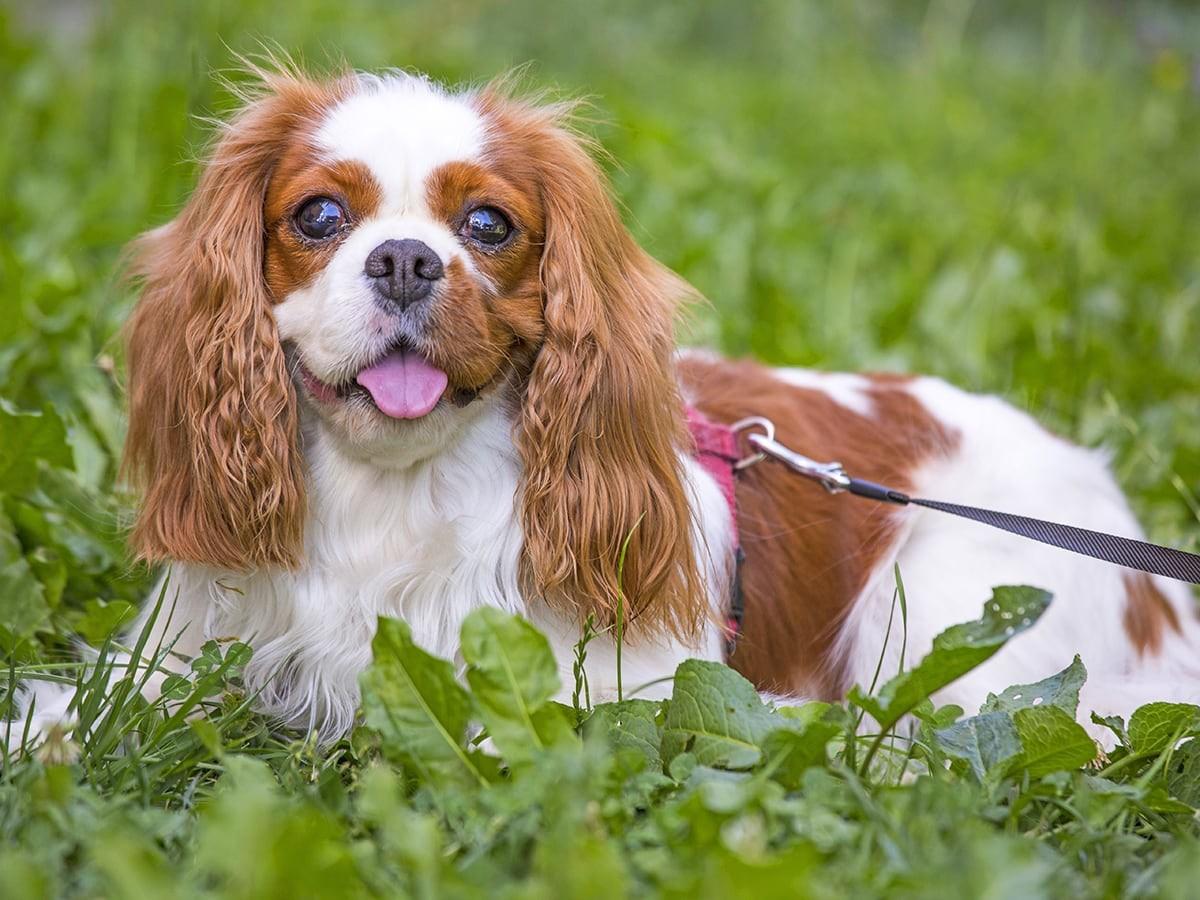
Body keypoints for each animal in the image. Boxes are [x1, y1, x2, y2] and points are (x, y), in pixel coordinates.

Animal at [11, 66, 1200, 748]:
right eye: (317, 215)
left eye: (488, 226)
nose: (404, 259)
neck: (391, 492)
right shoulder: (182, 655)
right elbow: (85, 710)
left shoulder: (622, 694)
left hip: (948, 621)